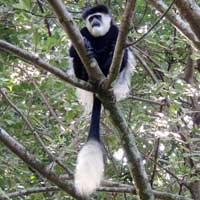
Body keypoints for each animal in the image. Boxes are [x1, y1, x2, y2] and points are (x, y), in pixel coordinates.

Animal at [69, 4, 136, 197]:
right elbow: (73, 50)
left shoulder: (116, 31)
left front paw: (113, 49)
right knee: (76, 58)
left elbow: (122, 48)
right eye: (91, 19)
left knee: (123, 55)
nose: (95, 22)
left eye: (98, 16)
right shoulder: (82, 31)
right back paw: (85, 69)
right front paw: (87, 46)